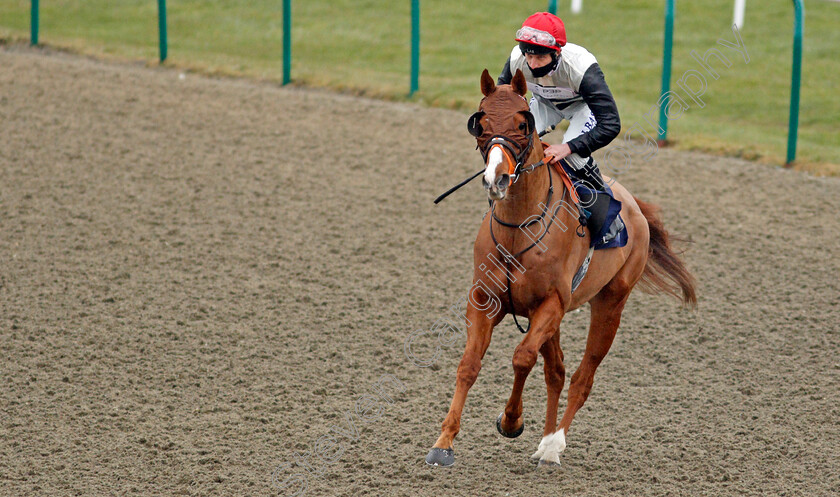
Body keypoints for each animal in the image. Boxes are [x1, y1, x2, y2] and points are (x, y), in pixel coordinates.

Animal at [426, 69, 696, 464]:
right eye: (482, 123)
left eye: (523, 124)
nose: (497, 178)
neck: (519, 228)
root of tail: (634, 206)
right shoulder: (484, 301)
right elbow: (469, 364)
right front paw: (443, 442)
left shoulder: (550, 304)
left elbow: (522, 358)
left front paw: (511, 421)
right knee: (557, 371)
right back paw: (545, 440)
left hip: (610, 303)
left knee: (582, 377)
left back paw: (553, 444)